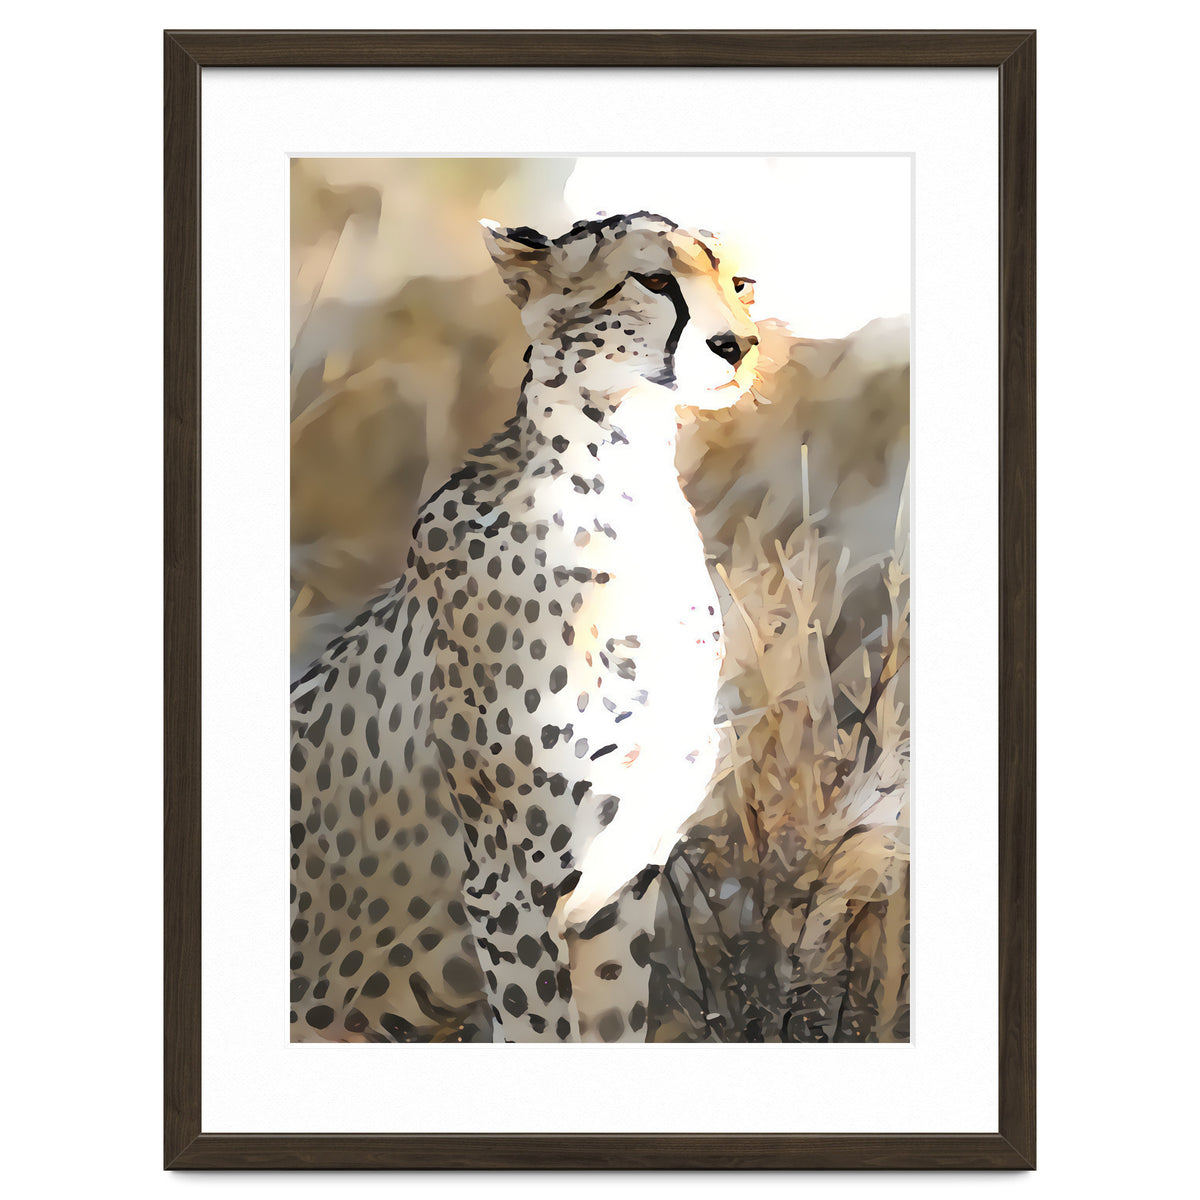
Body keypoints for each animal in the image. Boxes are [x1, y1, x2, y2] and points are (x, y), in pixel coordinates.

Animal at [289, 211, 760, 1042]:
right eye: (654, 279)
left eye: (741, 284)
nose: (740, 345)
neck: (626, 489)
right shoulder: (508, 894)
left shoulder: (617, 894)